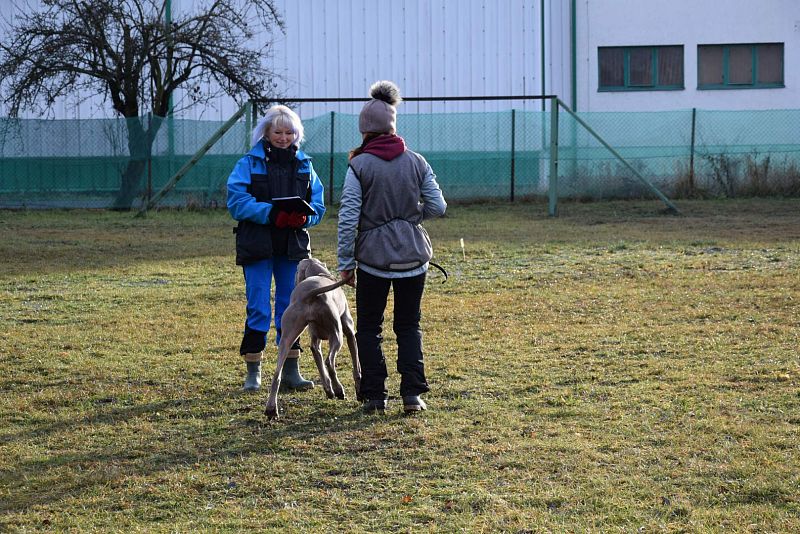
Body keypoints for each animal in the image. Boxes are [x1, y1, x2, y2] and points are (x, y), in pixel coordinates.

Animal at [264, 258, 360, 418]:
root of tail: (309, 294)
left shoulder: (315, 343)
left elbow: (319, 364)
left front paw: (328, 391)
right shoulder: (350, 333)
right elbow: (356, 366)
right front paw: (357, 390)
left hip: (286, 338)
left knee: (277, 374)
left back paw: (271, 409)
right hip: (336, 334)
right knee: (329, 362)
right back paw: (339, 390)